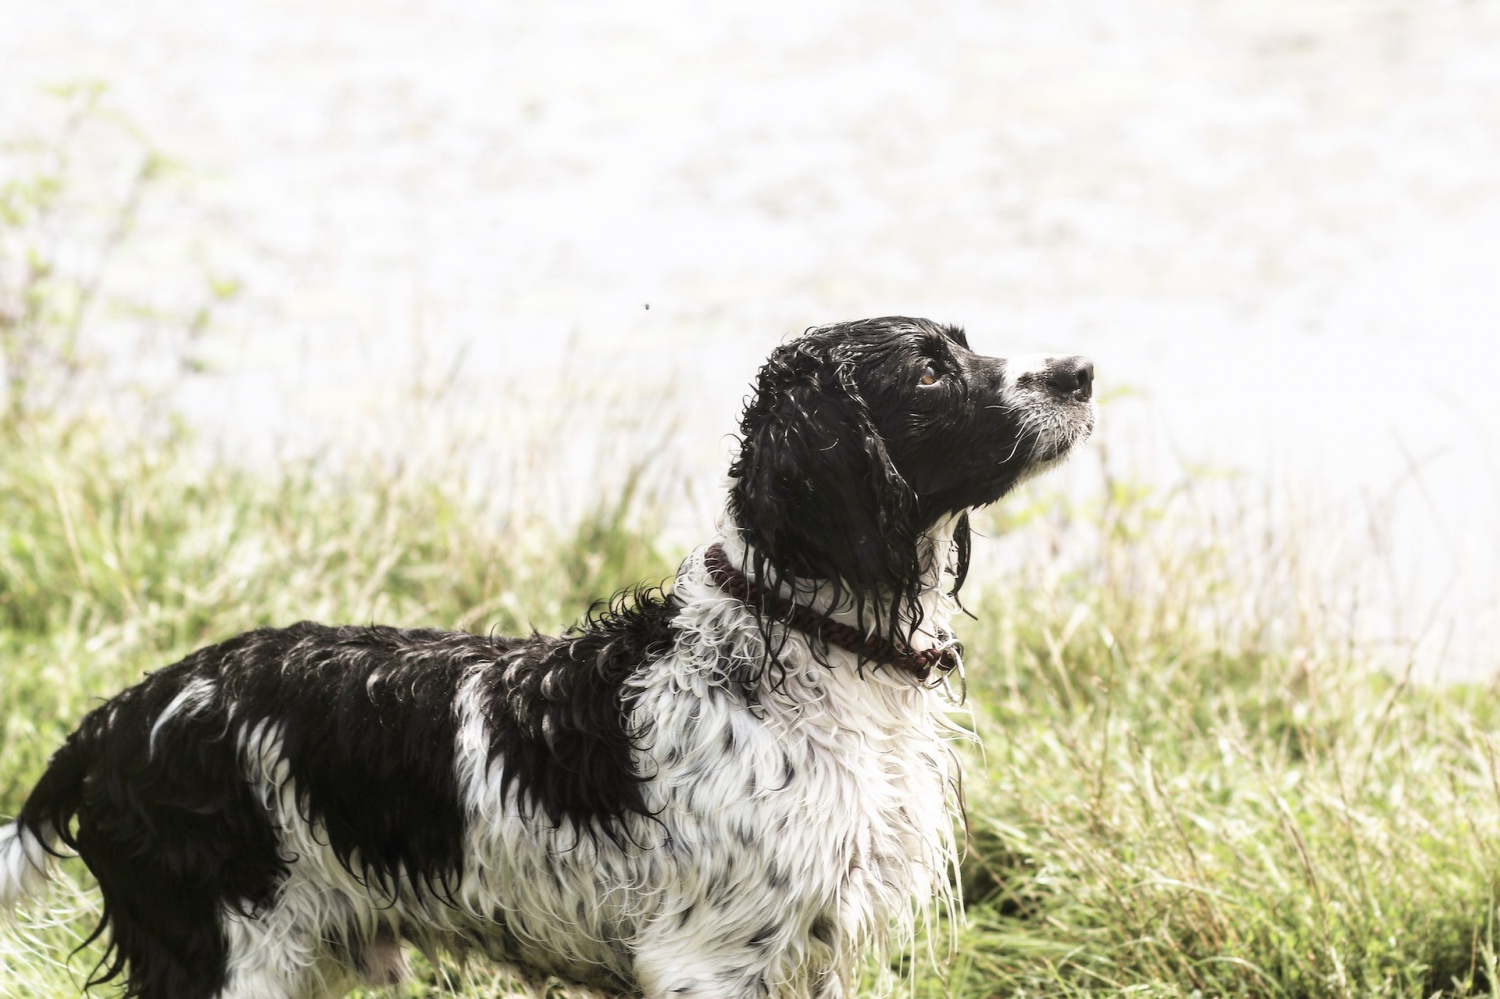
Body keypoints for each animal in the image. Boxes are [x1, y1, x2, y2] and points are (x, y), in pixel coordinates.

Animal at [2, 315, 1104, 990]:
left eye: (961, 343)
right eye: (928, 368)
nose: (1082, 369)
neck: (808, 648)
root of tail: (114, 720)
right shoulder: (709, 960)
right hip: (228, 958)